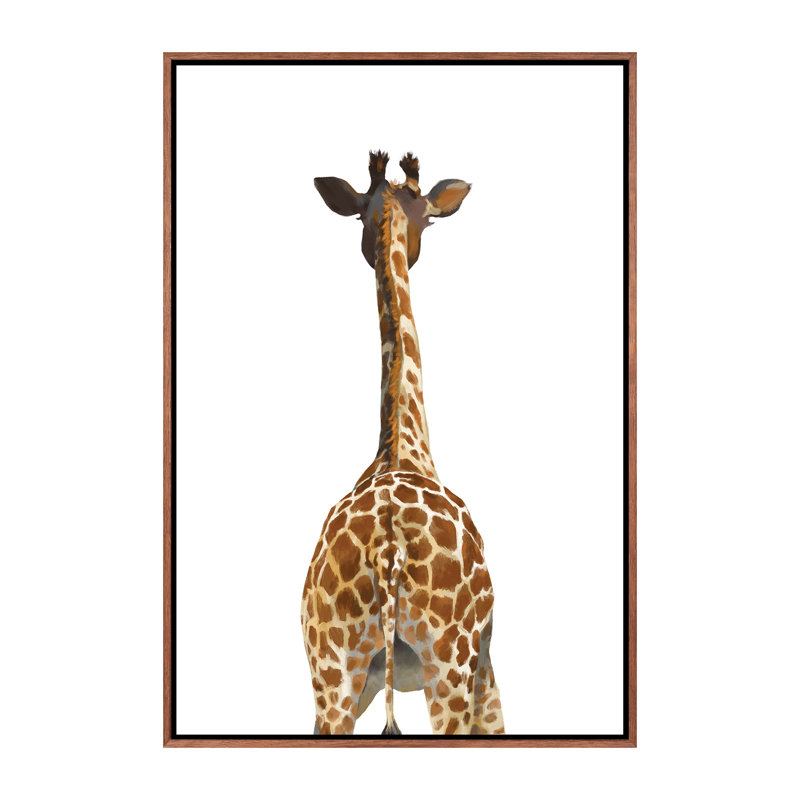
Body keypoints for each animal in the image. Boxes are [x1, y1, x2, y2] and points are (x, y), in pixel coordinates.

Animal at [301, 151, 504, 736]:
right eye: (430, 219)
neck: (404, 446)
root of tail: (387, 548)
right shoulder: (487, 668)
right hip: (449, 665)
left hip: (333, 676)